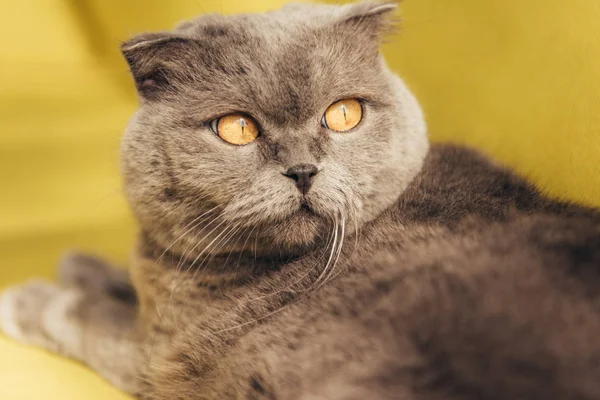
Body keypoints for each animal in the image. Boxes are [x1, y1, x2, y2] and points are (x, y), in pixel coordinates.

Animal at [1, 1, 600, 398]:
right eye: (236, 127)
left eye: (344, 114)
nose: (303, 170)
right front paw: (82, 262)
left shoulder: (160, 356)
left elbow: (84, 315)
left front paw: (30, 296)